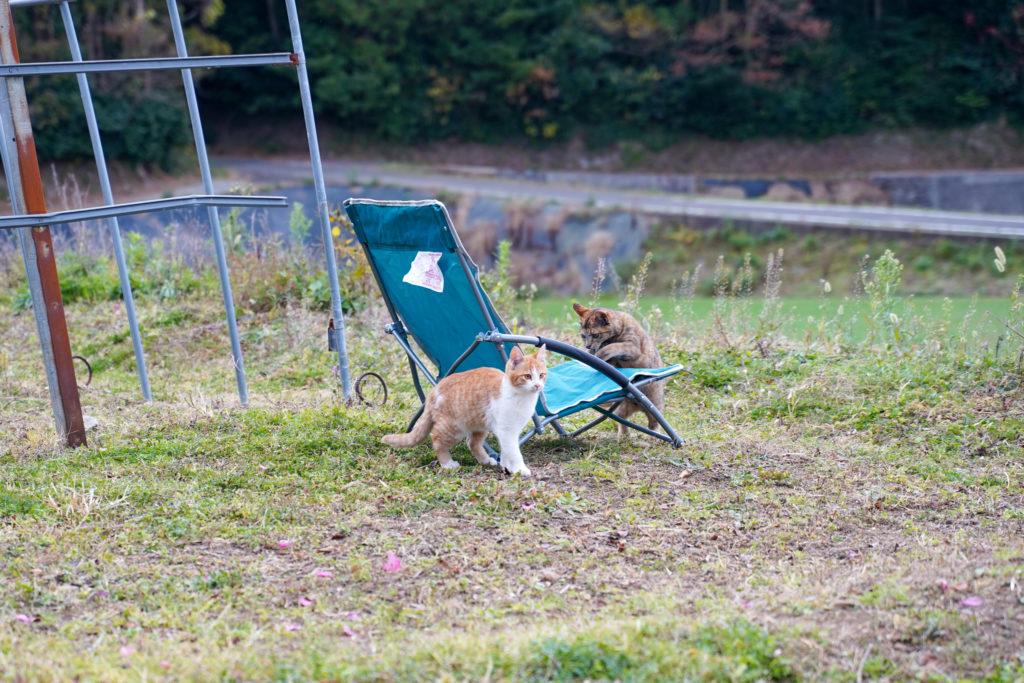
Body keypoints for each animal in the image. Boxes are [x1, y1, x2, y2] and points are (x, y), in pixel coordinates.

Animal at [382, 348, 544, 475]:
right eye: (527, 376)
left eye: (541, 375)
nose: (537, 385)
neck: (520, 397)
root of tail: (435, 390)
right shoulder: (506, 430)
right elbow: (514, 452)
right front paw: (521, 469)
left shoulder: (510, 431)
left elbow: (507, 450)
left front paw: (507, 466)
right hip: (453, 427)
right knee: (437, 440)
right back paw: (447, 464)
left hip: (478, 423)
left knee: (472, 443)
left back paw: (485, 460)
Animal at [569, 303, 663, 436]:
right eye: (583, 336)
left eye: (595, 335)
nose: (587, 345)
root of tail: (638, 405)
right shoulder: (613, 360)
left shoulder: (632, 347)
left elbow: (613, 347)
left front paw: (598, 354)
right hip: (622, 409)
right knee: (623, 422)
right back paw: (623, 437)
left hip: (654, 409)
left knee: (654, 426)